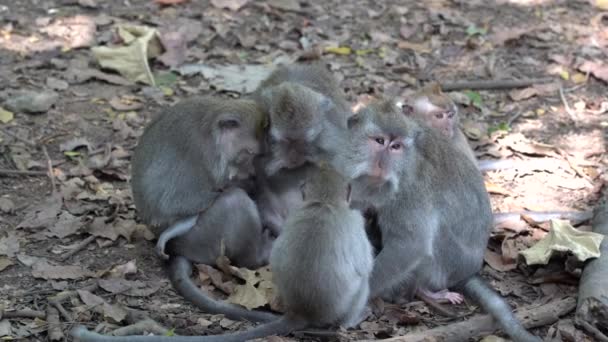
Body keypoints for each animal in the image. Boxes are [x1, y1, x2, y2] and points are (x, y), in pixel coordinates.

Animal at [71, 168, 376, 342]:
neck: (323, 202)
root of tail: (302, 311)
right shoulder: (354, 221)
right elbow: (365, 266)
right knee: (362, 284)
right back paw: (355, 318)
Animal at [332, 99, 540, 342]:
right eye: (379, 141)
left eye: (396, 147)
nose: (382, 165)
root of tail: (469, 270)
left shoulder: (409, 191)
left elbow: (410, 245)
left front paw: (355, 300)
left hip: (448, 263)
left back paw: (425, 292)